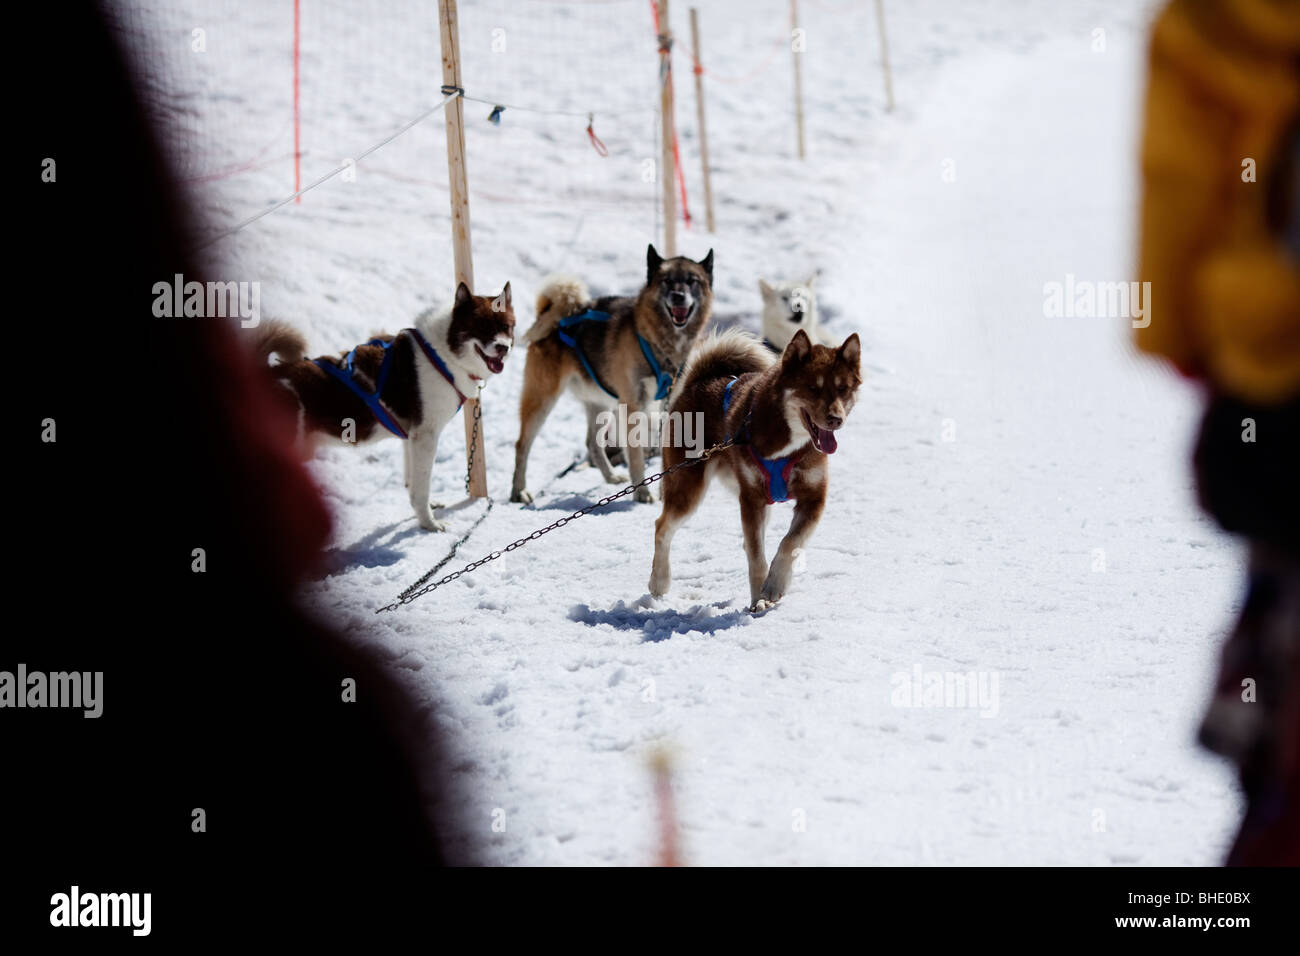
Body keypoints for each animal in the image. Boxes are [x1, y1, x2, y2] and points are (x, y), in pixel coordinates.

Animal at [250, 280, 514, 535]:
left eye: (507, 327)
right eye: (482, 326)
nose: (504, 348)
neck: (443, 354)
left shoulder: (412, 437)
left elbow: (413, 484)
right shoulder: (425, 437)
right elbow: (422, 486)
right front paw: (429, 523)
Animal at [509, 243, 717, 504]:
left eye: (692, 281)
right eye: (667, 281)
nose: (678, 296)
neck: (659, 342)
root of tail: (557, 315)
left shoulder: (668, 404)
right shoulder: (632, 405)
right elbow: (636, 455)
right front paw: (642, 492)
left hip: (601, 404)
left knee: (592, 444)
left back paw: (610, 477)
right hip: (542, 400)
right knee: (522, 445)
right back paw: (519, 490)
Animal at [650, 329, 863, 613]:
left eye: (842, 389)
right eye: (813, 388)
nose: (836, 419)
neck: (788, 443)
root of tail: (700, 381)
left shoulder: (814, 498)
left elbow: (790, 543)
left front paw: (774, 585)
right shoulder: (751, 499)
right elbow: (757, 556)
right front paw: (759, 597)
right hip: (688, 487)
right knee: (662, 526)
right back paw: (659, 581)